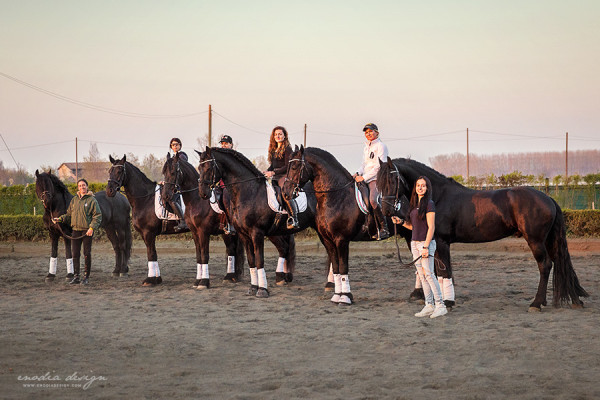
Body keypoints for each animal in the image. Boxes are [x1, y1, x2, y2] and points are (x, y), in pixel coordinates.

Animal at [107, 154, 244, 288]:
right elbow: (154, 254)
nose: (109, 191)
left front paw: (150, 279)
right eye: (109, 171)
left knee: (231, 250)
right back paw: (233, 276)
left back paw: (230, 277)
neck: (145, 199)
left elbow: (151, 254)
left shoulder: (148, 233)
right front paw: (157, 278)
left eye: (119, 171)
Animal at [197, 148, 318, 298]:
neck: (249, 192)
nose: (203, 193)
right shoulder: (244, 235)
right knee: (284, 248)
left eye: (208, 168)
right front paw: (253, 287)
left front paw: (262, 289)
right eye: (199, 168)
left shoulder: (257, 233)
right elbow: (251, 260)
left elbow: (259, 260)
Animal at [282, 145, 412, 304]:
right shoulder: (328, 241)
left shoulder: (341, 240)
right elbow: (336, 268)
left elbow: (343, 267)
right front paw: (337, 295)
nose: (285, 193)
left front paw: (345, 297)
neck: (336, 196)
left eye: (294, 167)